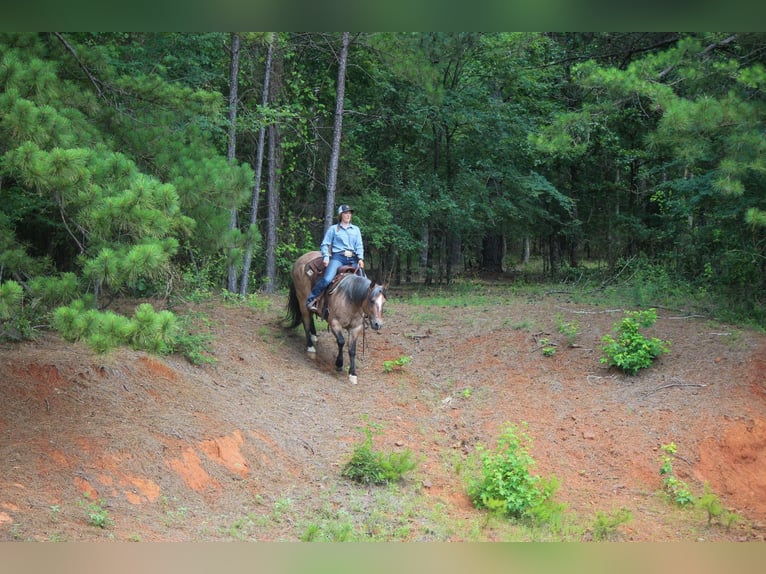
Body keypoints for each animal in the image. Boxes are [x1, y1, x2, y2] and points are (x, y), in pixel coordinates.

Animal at [286, 250, 388, 384]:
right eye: (371, 301)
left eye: (384, 302)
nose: (378, 324)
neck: (351, 298)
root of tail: (301, 259)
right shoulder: (334, 322)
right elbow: (341, 341)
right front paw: (339, 364)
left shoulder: (356, 328)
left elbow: (352, 350)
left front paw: (353, 373)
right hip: (302, 300)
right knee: (306, 320)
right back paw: (310, 346)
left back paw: (314, 336)